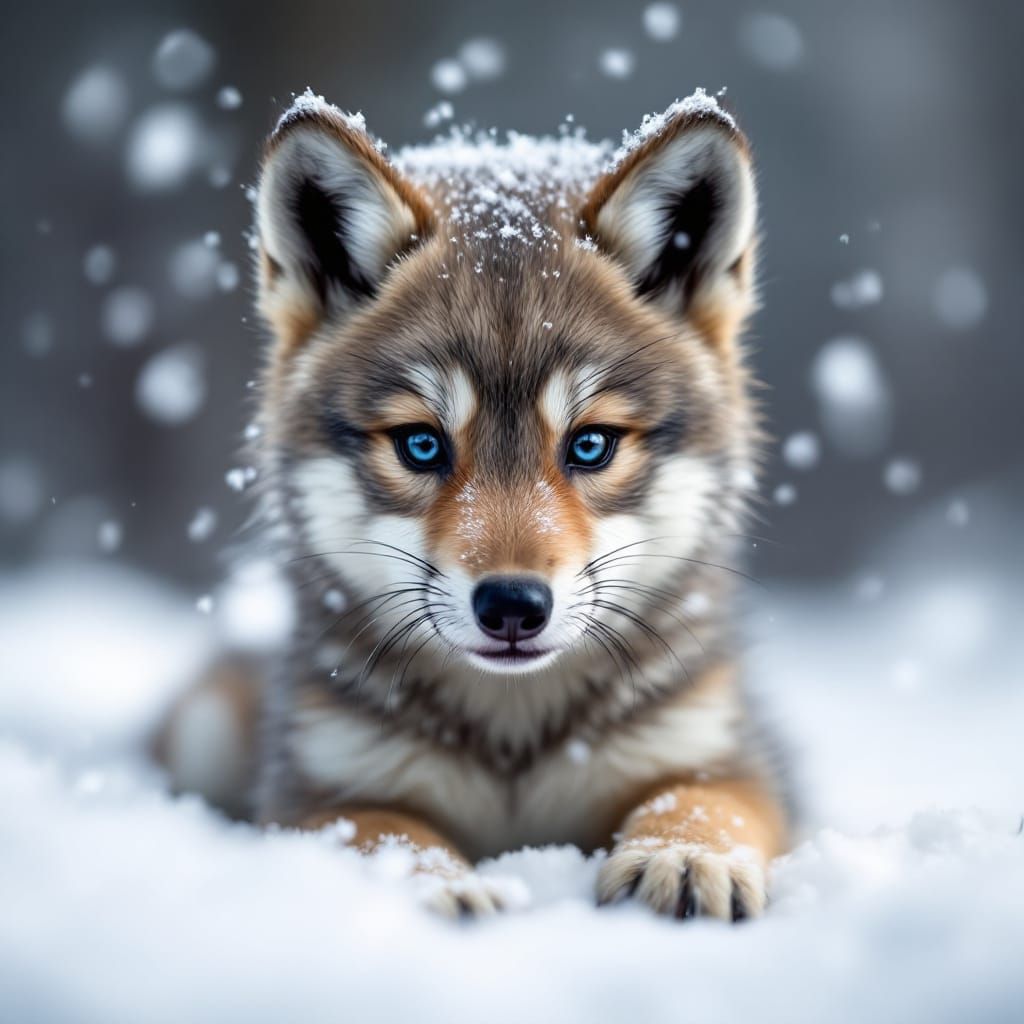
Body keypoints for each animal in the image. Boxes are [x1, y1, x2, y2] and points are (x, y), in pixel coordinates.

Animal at [159, 87, 791, 921]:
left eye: (591, 445)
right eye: (422, 446)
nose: (514, 606)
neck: (511, 747)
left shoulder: (727, 759)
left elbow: (698, 801)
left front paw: (684, 856)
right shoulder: (315, 795)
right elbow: (387, 833)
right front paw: (439, 887)